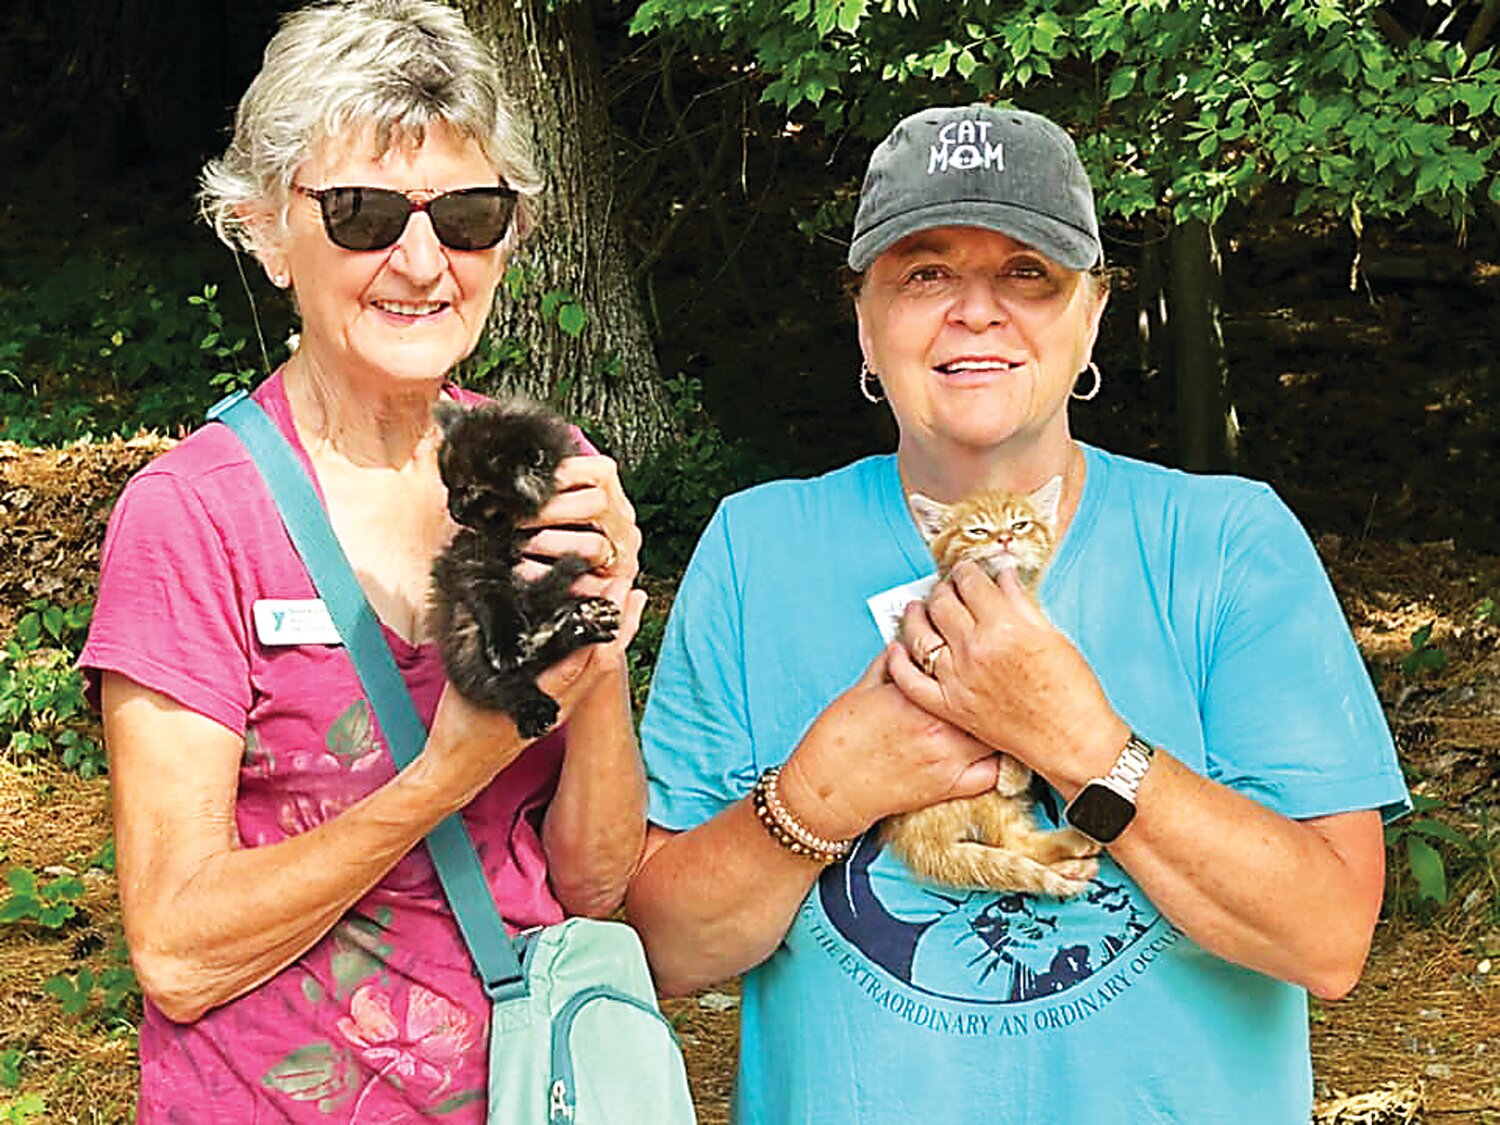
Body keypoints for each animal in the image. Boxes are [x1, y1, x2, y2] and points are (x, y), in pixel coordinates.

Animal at [429, 399, 621, 741]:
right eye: (449, 487)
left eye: (471, 489)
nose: (454, 511)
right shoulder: (472, 561)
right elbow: (495, 597)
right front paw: (507, 643)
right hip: (464, 634)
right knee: (502, 682)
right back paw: (535, 706)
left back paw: (584, 622)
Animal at [876, 480, 1104, 906]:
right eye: (977, 531)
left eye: (1021, 524)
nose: (1004, 538)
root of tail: (914, 838)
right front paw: (1014, 771)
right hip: (982, 798)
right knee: (1011, 843)